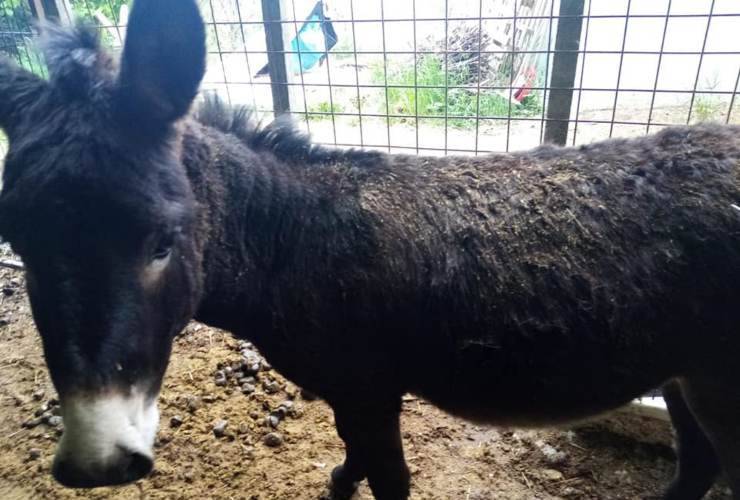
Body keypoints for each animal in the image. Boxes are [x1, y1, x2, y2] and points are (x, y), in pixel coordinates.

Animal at [0, 0, 739, 498]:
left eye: (162, 241)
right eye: (18, 244)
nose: (95, 462)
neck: (292, 241)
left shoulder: (369, 391)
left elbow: (389, 478)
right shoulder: (352, 394)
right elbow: (354, 456)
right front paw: (337, 482)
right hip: (686, 372)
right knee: (698, 464)